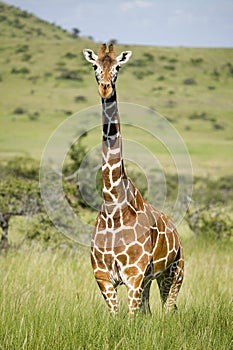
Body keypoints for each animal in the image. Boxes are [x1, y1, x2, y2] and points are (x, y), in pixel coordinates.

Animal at [82, 43, 184, 314]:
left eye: (118, 67)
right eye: (95, 66)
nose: (105, 88)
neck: (113, 203)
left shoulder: (134, 276)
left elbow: (130, 318)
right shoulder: (103, 277)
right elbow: (117, 317)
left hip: (175, 272)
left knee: (169, 308)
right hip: (152, 280)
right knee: (151, 311)